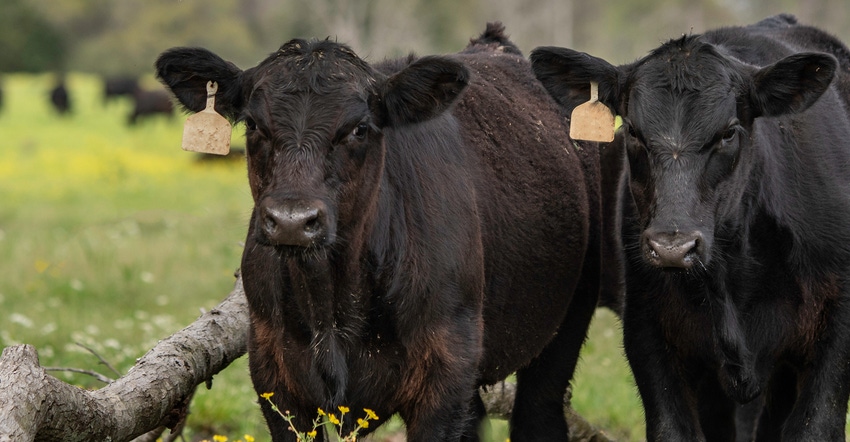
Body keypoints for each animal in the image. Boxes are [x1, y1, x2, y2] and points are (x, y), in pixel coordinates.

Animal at [156, 24, 600, 442]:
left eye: (358, 128)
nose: (292, 220)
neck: (334, 307)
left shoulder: (445, 374)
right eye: (253, 124)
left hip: (563, 324)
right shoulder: (273, 375)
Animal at [532, 13, 850, 442]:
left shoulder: (835, 339)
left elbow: (814, 426)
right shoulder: (649, 334)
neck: (734, 278)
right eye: (633, 131)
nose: (673, 246)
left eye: (729, 132)